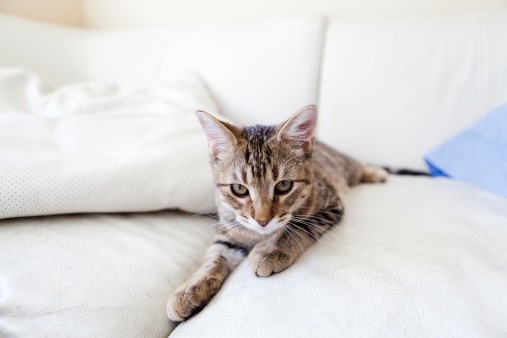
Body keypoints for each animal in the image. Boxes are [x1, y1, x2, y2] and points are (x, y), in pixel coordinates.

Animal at [168, 104, 388, 320]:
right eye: (239, 189)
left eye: (283, 185)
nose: (262, 220)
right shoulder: (230, 229)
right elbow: (215, 255)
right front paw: (190, 289)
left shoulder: (331, 202)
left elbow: (298, 226)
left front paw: (271, 250)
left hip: (345, 167)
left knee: (358, 166)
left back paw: (376, 173)